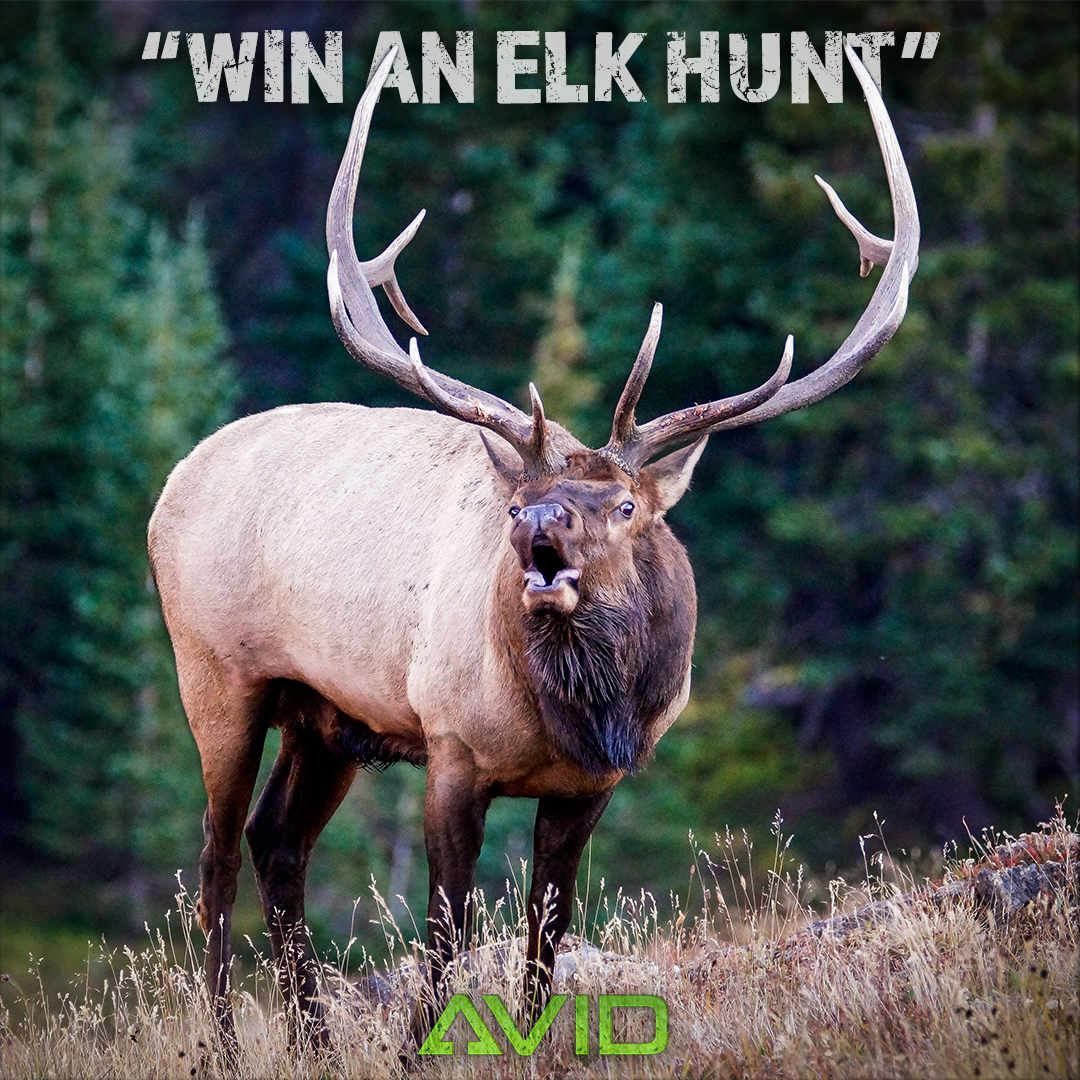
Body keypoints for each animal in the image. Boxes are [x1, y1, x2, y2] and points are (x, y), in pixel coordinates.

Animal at [148, 43, 918, 1054]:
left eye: (626, 505)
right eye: (517, 497)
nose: (535, 525)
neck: (579, 712)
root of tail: (172, 484)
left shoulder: (592, 784)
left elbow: (546, 935)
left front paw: (525, 1040)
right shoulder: (450, 749)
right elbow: (445, 932)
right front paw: (418, 1051)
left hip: (327, 715)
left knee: (278, 842)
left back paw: (313, 1040)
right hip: (219, 677)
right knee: (214, 859)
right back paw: (230, 1044)